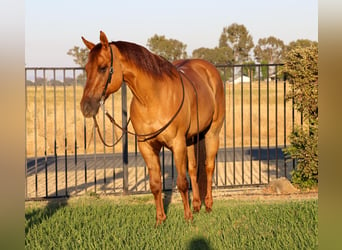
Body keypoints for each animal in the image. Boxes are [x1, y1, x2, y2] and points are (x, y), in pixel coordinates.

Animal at [79, 30, 226, 225]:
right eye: (87, 69)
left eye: (103, 68)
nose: (86, 107)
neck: (153, 99)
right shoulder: (147, 146)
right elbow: (155, 184)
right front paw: (160, 220)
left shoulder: (177, 144)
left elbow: (181, 182)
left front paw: (187, 218)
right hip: (191, 139)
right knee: (194, 168)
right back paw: (196, 204)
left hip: (212, 133)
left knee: (208, 166)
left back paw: (207, 204)